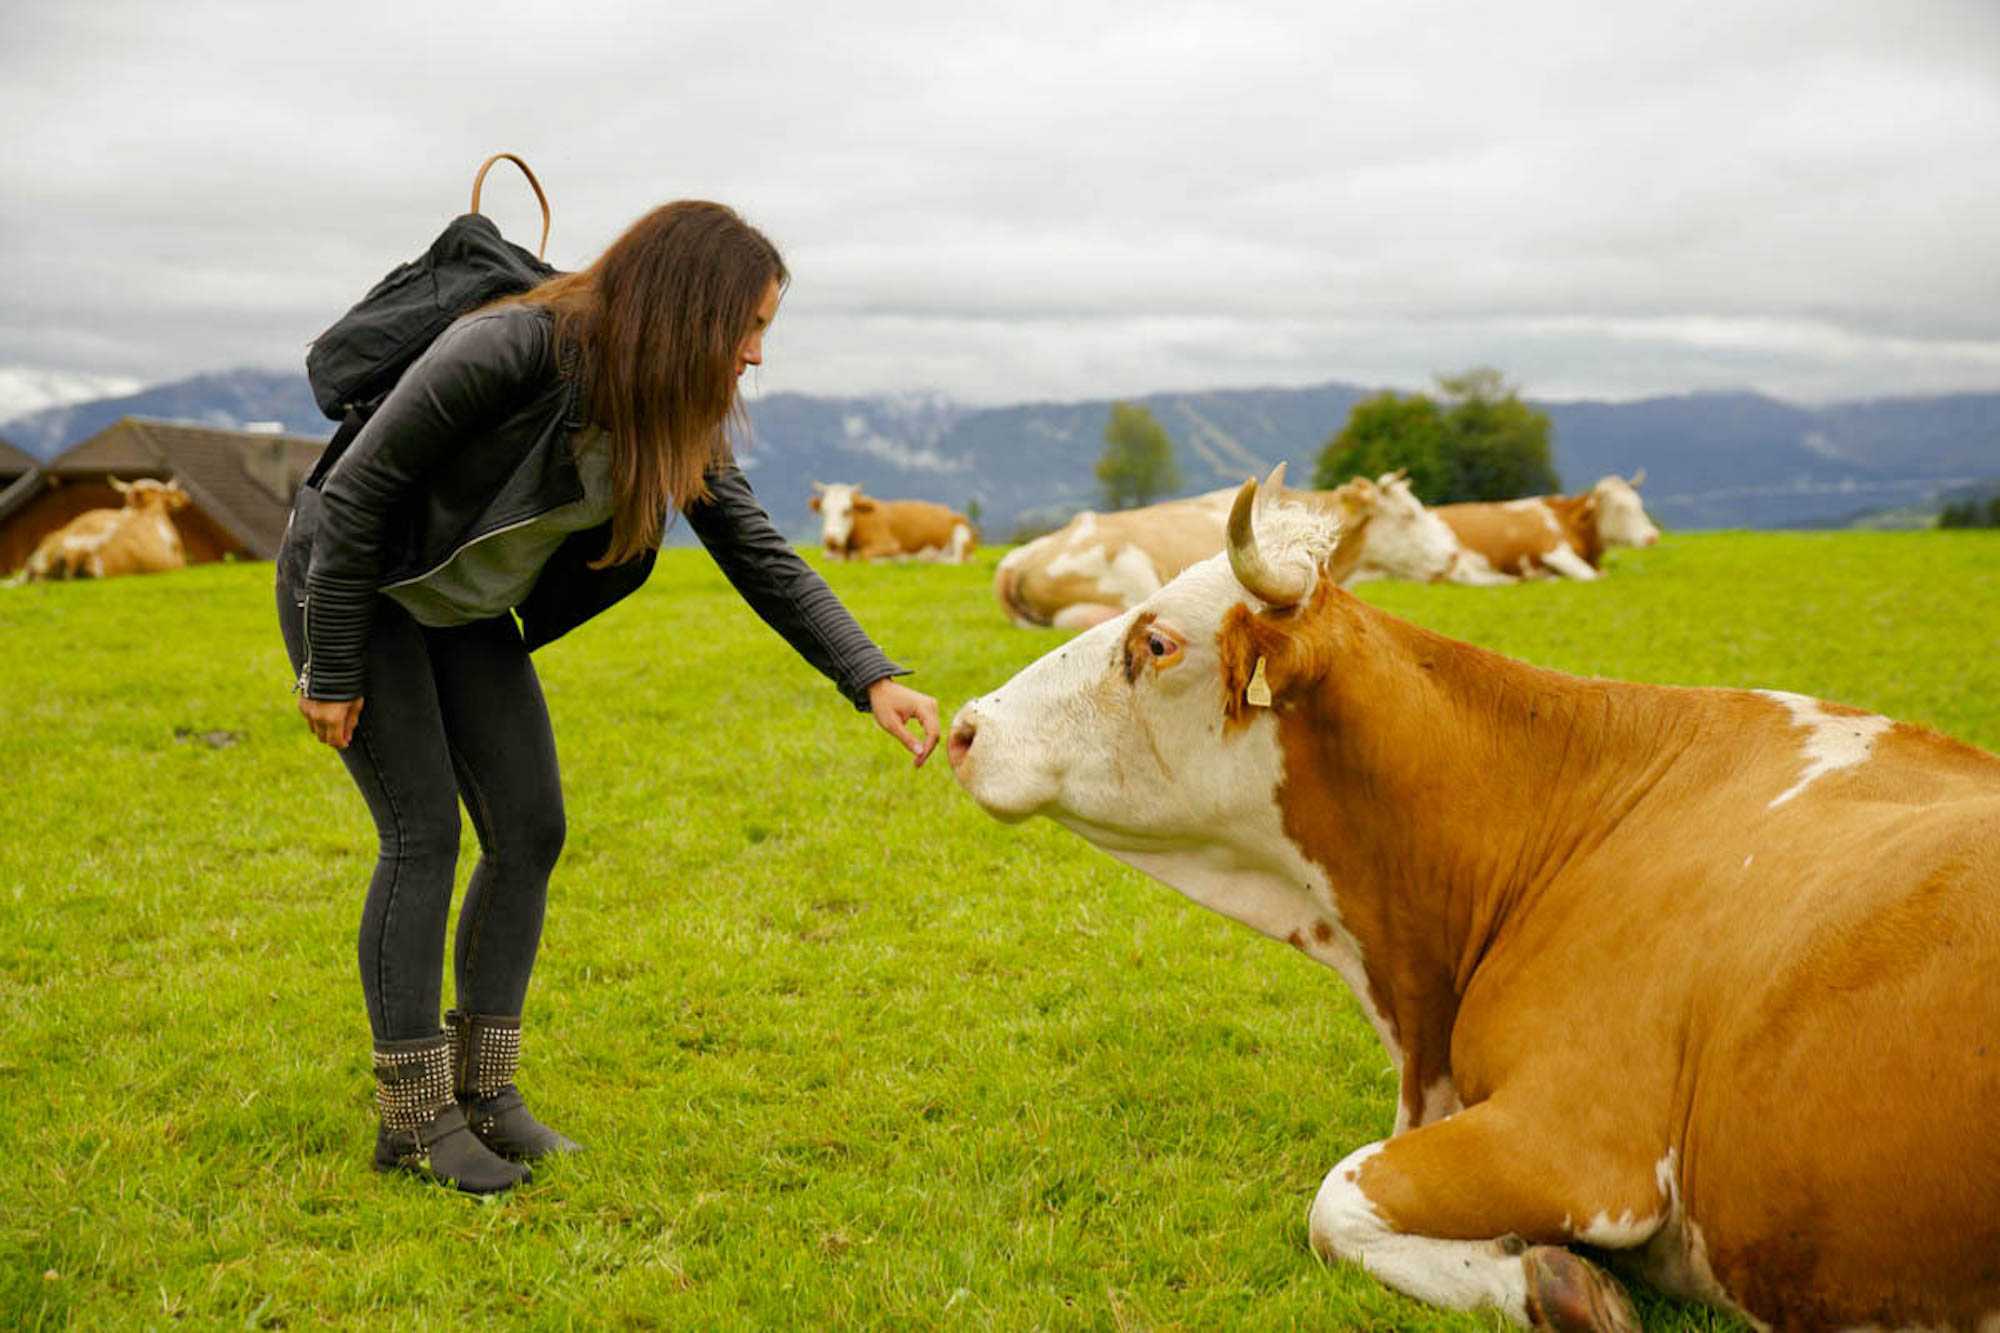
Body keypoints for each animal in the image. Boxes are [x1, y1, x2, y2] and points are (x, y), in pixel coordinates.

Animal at [808, 478, 972, 560]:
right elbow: (828, 556)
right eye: (823, 511)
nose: (830, 540)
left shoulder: (890, 544)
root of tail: (951, 512)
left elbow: (863, 554)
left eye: (847, 511)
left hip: (961, 535)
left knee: (956, 560)